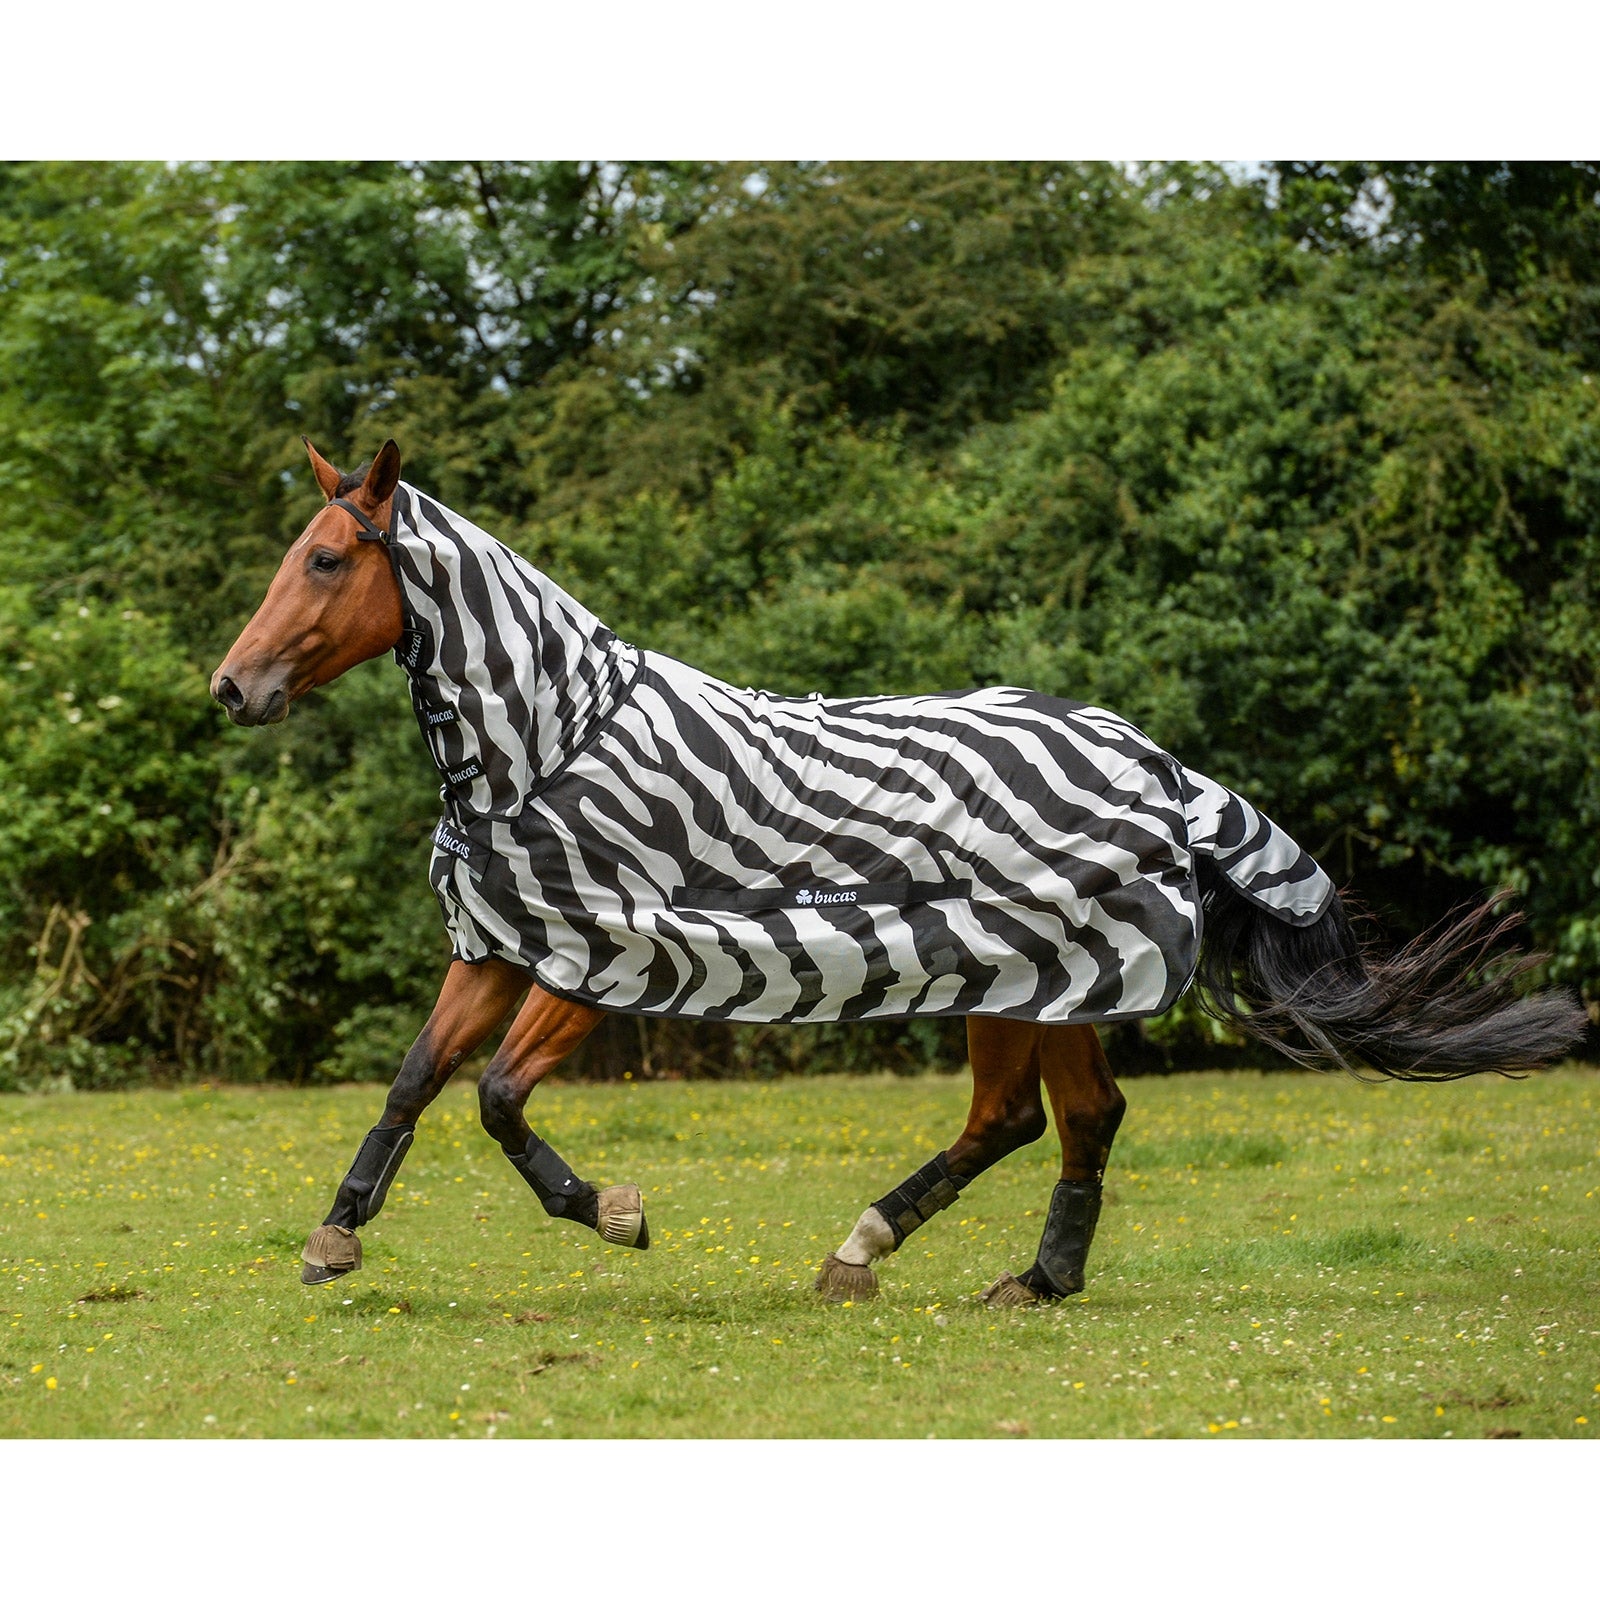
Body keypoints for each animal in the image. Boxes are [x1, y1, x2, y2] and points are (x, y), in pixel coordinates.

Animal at [211, 438, 1586, 1306]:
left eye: (328, 559)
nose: (232, 686)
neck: (555, 743)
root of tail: (1154, 761)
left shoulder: (603, 954)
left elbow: (497, 1098)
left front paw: (614, 1211)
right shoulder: (501, 943)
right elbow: (415, 1078)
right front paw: (334, 1236)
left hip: (1037, 975)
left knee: (1032, 1118)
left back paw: (895, 1251)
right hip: (1045, 988)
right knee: (1058, 1117)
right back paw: (1009, 1274)